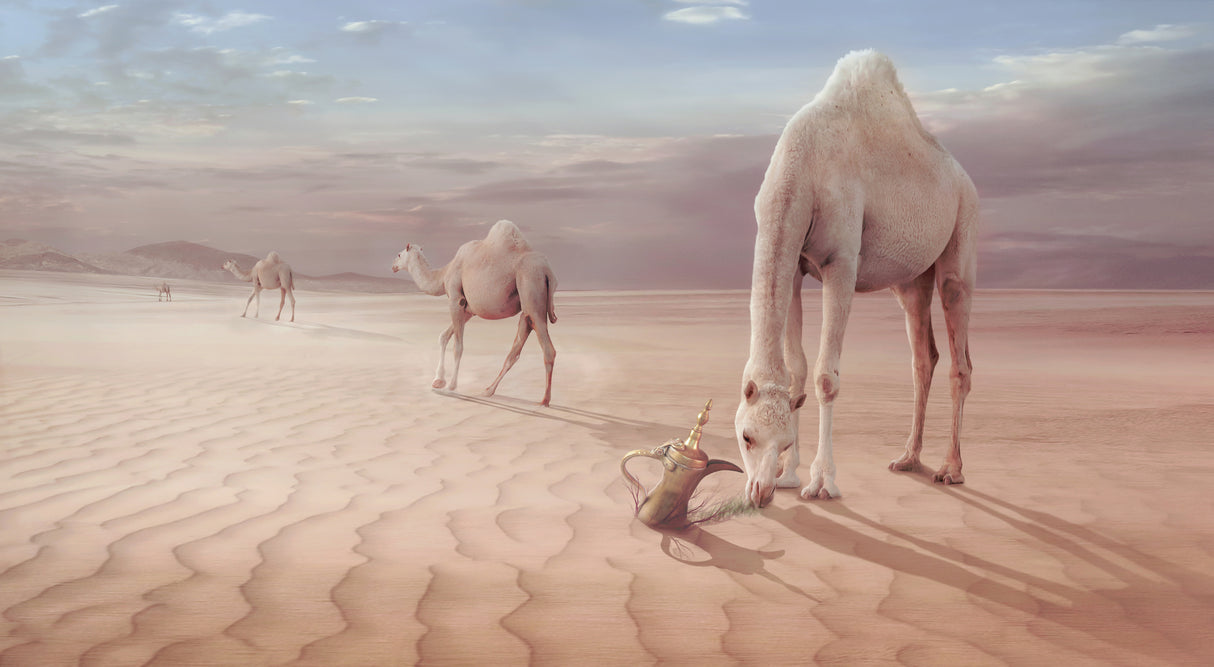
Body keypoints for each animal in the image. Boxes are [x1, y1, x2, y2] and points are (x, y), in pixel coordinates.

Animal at [392, 219, 558, 406]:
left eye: (399, 254)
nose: (393, 266)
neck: (443, 274)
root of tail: (548, 271)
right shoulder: (468, 309)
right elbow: (444, 336)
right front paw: (438, 380)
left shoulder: (455, 299)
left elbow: (458, 346)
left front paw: (451, 385)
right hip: (528, 301)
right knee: (518, 344)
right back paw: (488, 390)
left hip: (530, 283)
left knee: (547, 348)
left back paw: (544, 400)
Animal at [734, 50, 978, 507]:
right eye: (747, 436)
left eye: (782, 441)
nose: (761, 493)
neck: (801, 169)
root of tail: (964, 177)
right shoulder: (795, 265)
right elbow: (797, 369)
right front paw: (790, 475)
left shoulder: (841, 264)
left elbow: (825, 378)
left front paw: (821, 482)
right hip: (911, 279)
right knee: (923, 356)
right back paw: (908, 458)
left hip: (963, 232)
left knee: (960, 355)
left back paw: (951, 469)